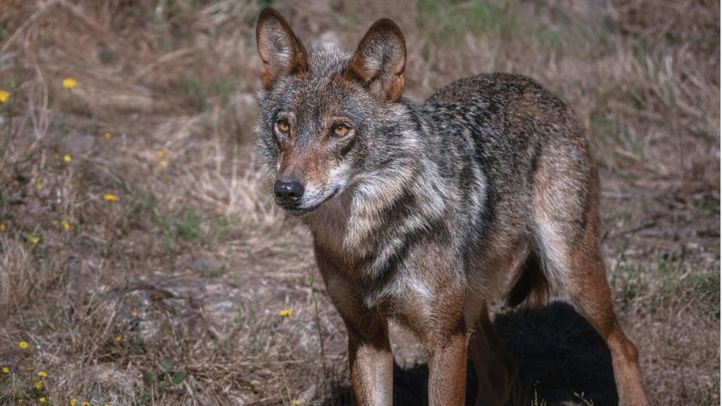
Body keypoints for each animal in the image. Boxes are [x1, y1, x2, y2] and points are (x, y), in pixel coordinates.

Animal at [254, 7, 648, 406]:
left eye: (339, 130)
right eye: (283, 126)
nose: (286, 189)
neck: (368, 240)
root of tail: (542, 90)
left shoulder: (444, 339)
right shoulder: (368, 337)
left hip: (567, 270)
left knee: (625, 346)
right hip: (472, 310)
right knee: (502, 370)